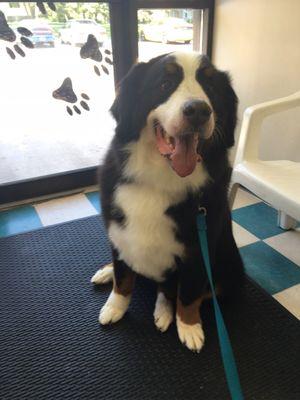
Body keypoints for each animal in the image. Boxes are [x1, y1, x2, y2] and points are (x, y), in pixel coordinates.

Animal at [91, 51, 244, 352]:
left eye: (210, 88)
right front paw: (115, 307)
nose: (198, 110)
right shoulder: (118, 233)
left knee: (176, 289)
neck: (159, 181)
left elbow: (189, 292)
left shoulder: (198, 249)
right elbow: (123, 278)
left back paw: (164, 312)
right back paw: (105, 273)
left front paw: (189, 326)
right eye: (165, 84)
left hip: (231, 269)